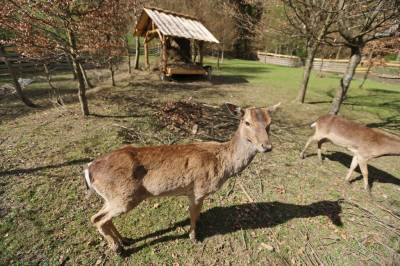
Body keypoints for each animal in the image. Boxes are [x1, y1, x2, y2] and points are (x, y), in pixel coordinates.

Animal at [83, 102, 280, 254]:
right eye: (247, 122)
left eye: (270, 123)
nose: (267, 146)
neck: (223, 164)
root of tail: (89, 169)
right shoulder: (199, 189)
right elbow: (193, 214)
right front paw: (194, 237)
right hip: (125, 196)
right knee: (97, 219)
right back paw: (117, 249)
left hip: (112, 197)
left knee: (101, 217)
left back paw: (125, 240)